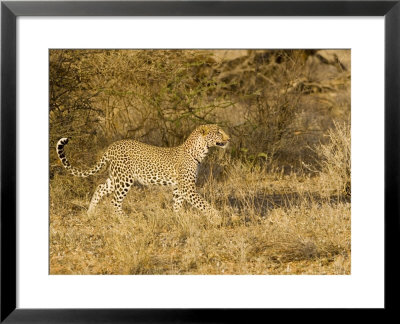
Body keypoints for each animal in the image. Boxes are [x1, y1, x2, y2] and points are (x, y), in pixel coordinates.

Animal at [57, 124, 231, 218]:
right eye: (218, 132)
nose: (229, 139)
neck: (200, 151)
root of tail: (112, 145)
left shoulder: (179, 187)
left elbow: (178, 204)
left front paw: (178, 218)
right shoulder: (187, 187)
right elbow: (203, 204)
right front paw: (217, 218)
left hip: (115, 177)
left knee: (100, 188)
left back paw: (90, 213)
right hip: (124, 179)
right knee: (115, 201)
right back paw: (125, 219)